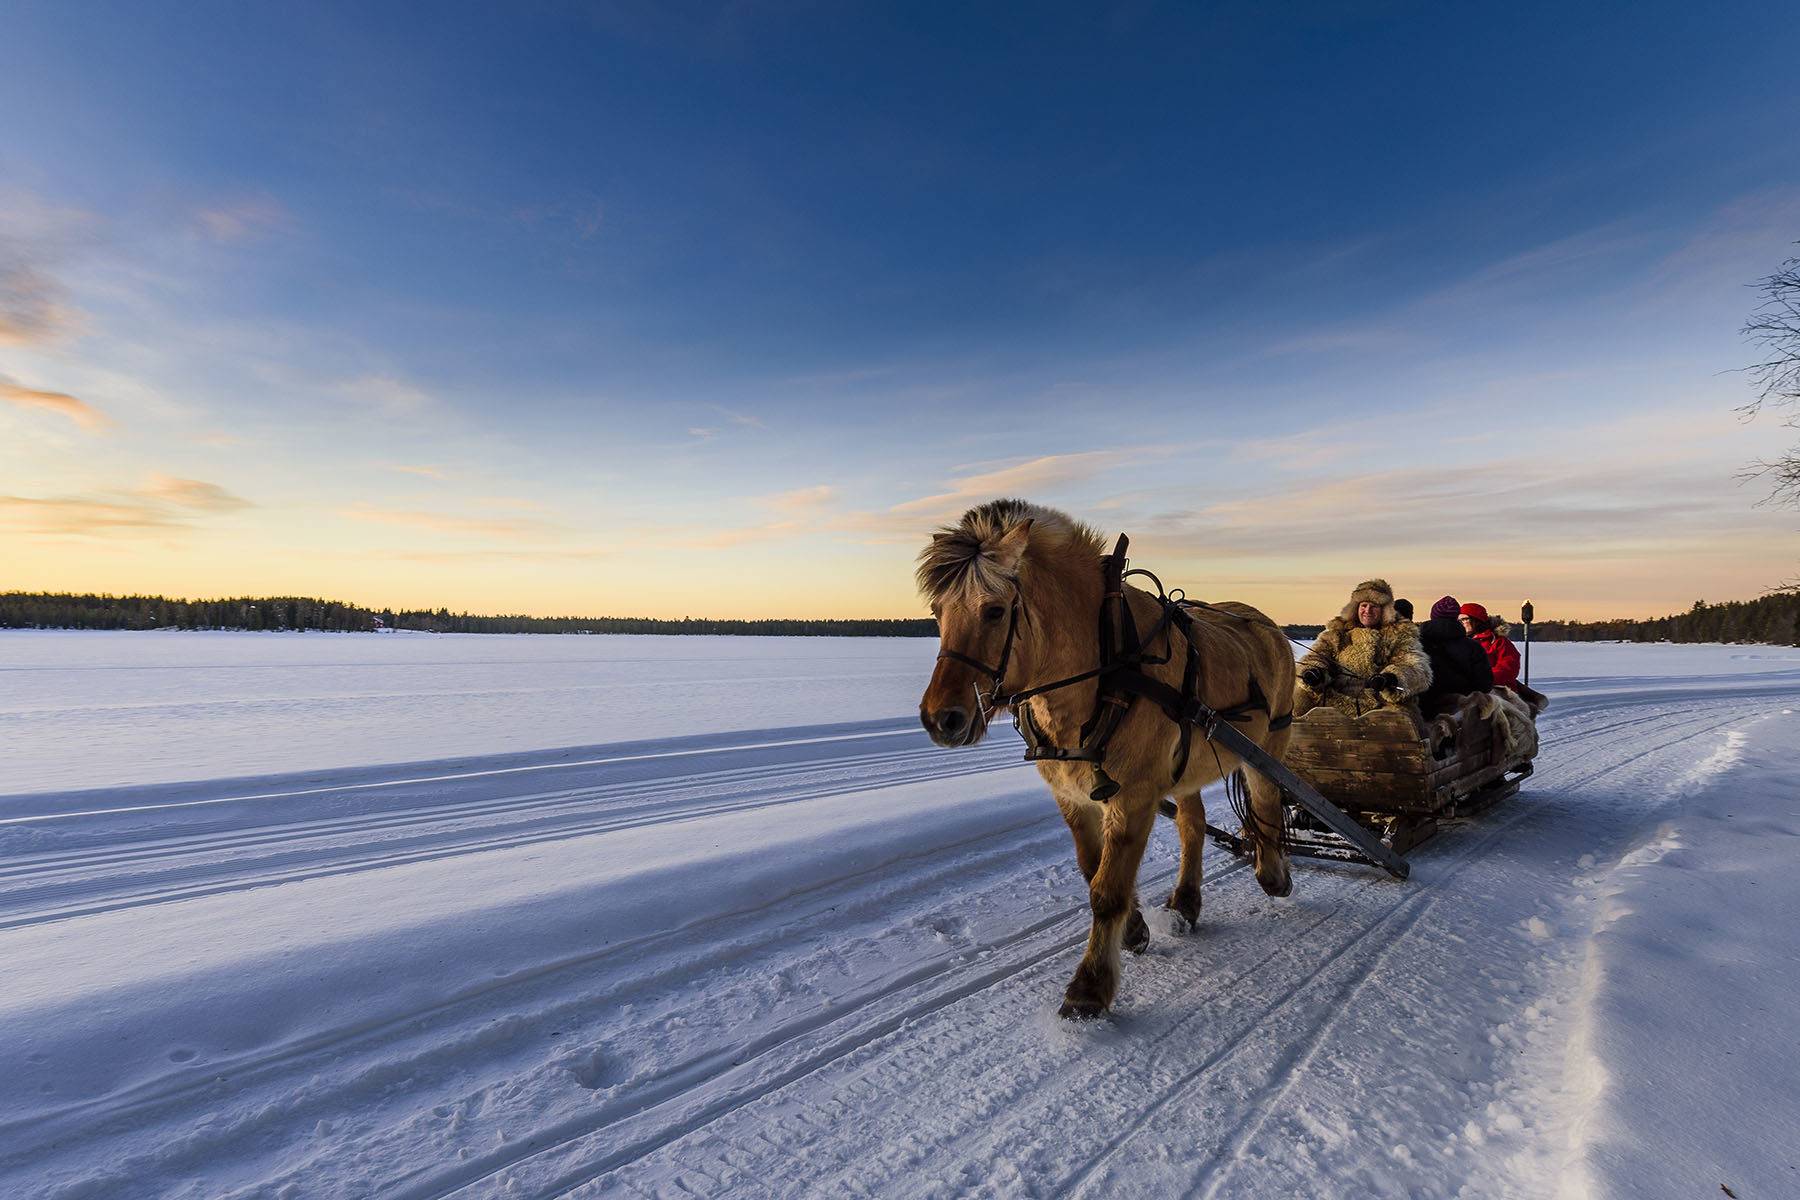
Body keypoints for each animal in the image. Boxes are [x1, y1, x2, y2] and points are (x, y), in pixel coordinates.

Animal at [914, 492, 1296, 1021]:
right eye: (937, 610)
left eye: (993, 610)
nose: (940, 719)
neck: (1105, 665)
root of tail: (1265, 622)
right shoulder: (1074, 795)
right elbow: (1092, 866)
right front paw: (1134, 930)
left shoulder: (1134, 796)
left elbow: (1106, 889)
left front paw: (1089, 987)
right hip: (1189, 765)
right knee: (1193, 824)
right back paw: (1186, 901)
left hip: (1267, 746)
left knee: (1266, 804)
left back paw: (1273, 874)